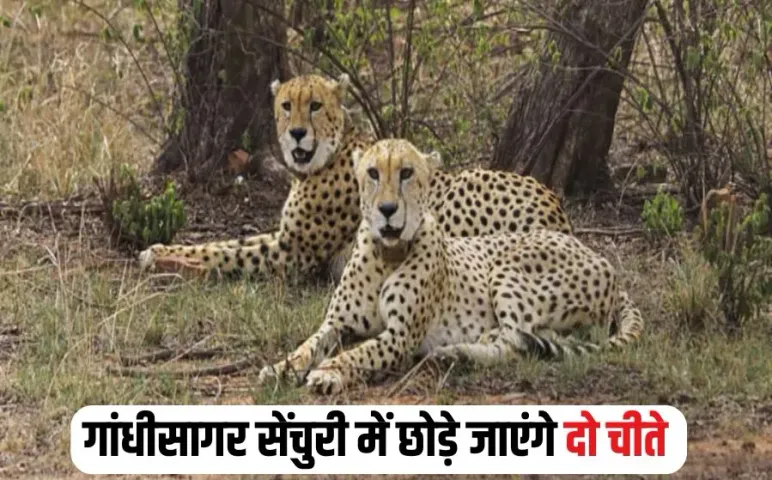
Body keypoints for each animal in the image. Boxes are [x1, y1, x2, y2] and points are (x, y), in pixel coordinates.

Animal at [138, 73, 574, 284]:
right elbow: (226, 242)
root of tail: (559, 213)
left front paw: (167, 259)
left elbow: (226, 254)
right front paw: (160, 248)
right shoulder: (284, 237)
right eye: (286, 106)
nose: (297, 133)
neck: (326, 155)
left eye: (315, 105)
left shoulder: (294, 255)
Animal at [257, 139, 645, 395]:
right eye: (372, 173)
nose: (387, 210)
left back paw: (456, 352)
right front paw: (280, 367)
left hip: (507, 268)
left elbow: (360, 353)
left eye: (406, 173)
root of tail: (598, 256)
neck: (387, 254)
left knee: (515, 342)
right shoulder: (337, 323)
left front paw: (329, 372)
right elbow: (308, 345)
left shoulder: (400, 337)